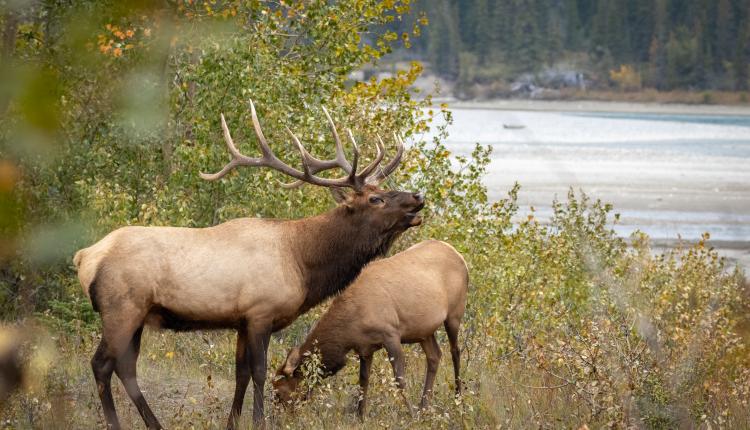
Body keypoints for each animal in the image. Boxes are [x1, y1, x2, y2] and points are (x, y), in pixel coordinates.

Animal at [73, 99, 426, 428]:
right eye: (376, 199)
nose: (418, 197)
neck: (302, 262)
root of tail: (85, 256)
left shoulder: (241, 320)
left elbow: (240, 373)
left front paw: (232, 422)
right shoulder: (260, 312)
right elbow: (259, 371)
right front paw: (260, 421)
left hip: (138, 314)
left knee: (125, 368)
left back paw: (155, 424)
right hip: (122, 308)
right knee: (102, 364)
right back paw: (116, 423)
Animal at [274, 239, 468, 416]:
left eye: (280, 393)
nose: (279, 418)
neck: (348, 332)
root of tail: (459, 256)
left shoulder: (391, 334)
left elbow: (399, 379)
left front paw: (411, 414)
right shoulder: (365, 348)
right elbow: (363, 381)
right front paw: (360, 416)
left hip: (454, 314)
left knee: (455, 351)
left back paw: (457, 399)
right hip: (423, 331)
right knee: (435, 355)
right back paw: (424, 406)